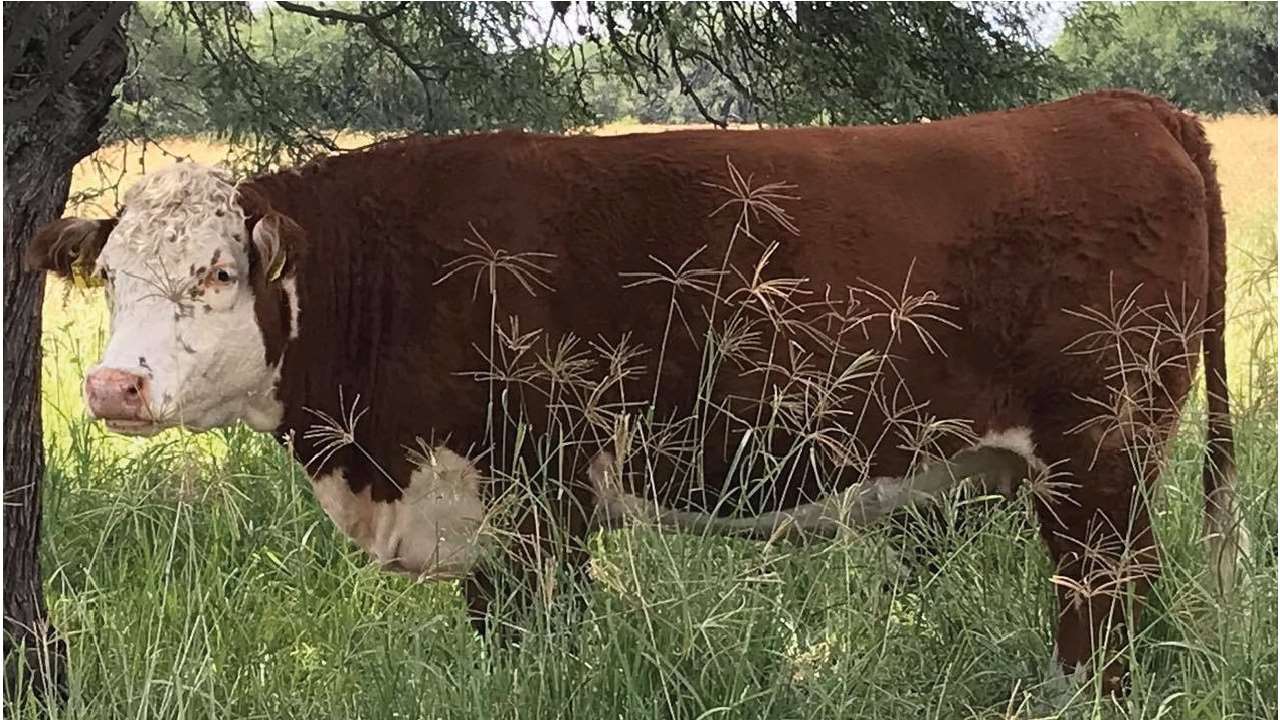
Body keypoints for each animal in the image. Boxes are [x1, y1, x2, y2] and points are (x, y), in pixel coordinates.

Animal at [27, 89, 1249, 691]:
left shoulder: (533, 501)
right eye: (113, 277)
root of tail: (1125, 107)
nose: (114, 383)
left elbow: (524, 641)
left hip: (1097, 459)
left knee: (1104, 607)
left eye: (216, 273)